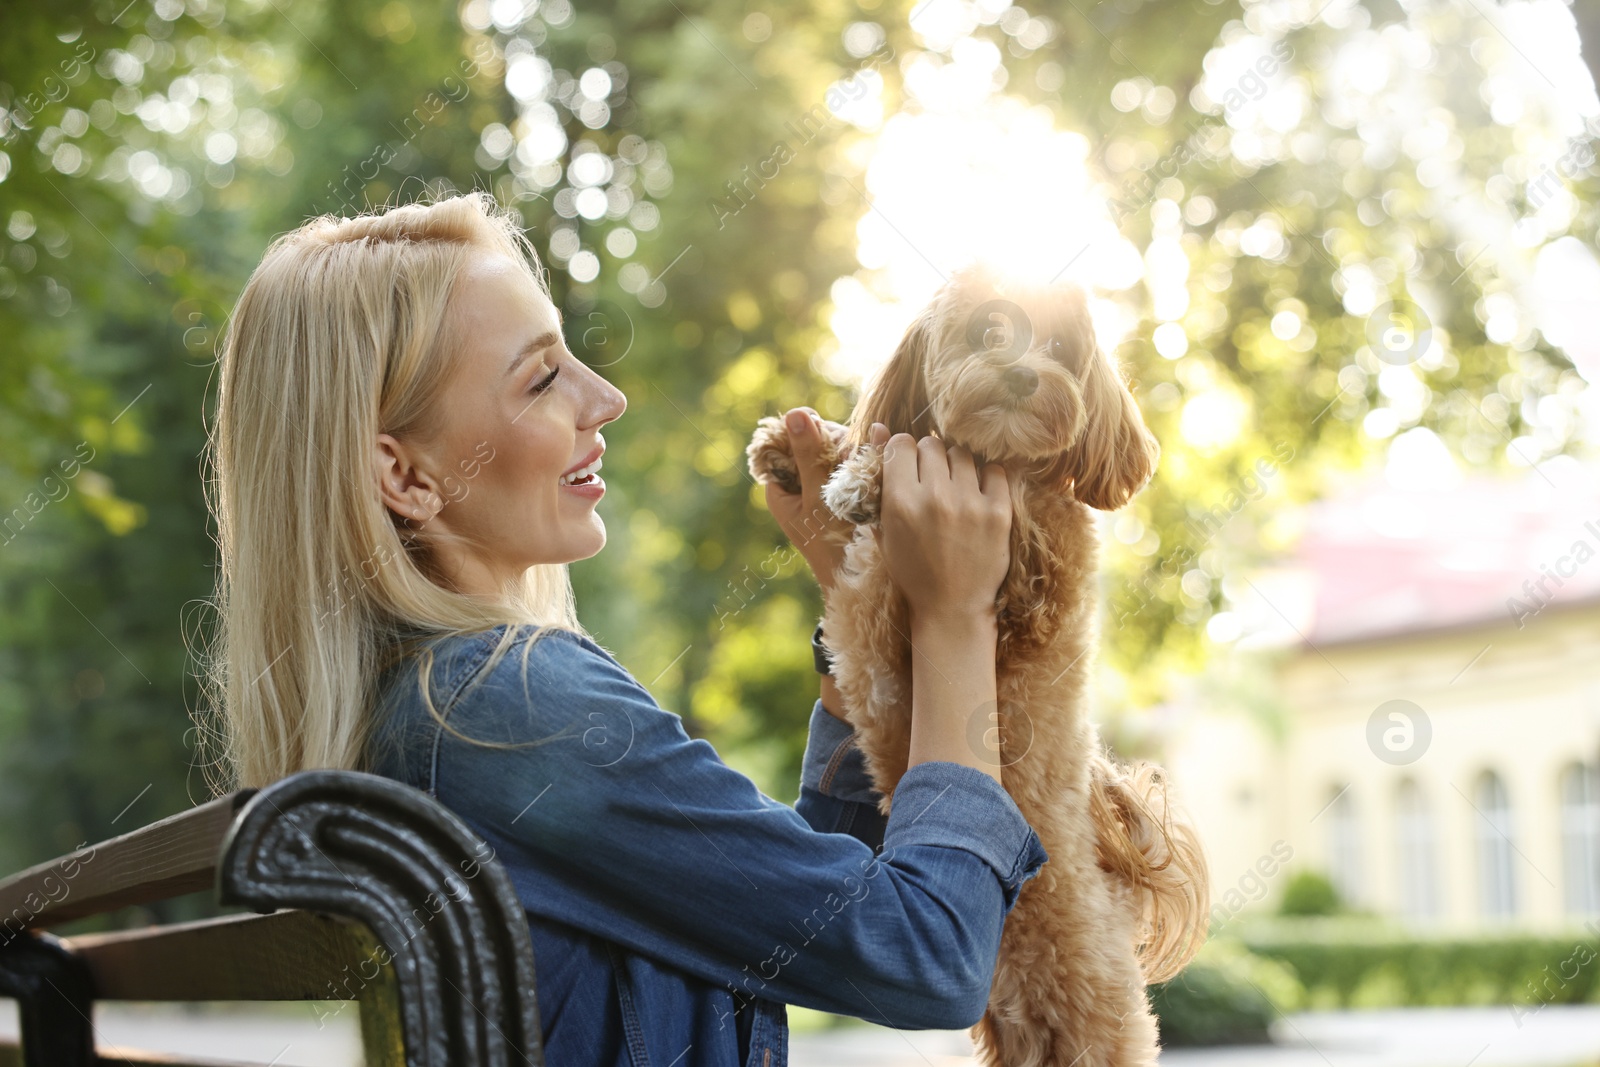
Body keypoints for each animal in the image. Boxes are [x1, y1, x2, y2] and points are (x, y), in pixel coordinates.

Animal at [748, 265, 1209, 1067]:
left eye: (1058, 347)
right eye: (986, 331)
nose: (1023, 373)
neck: (998, 455)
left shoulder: (1033, 581)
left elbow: (995, 509)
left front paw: (863, 481)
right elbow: (883, 430)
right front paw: (801, 444)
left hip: (1097, 1020)